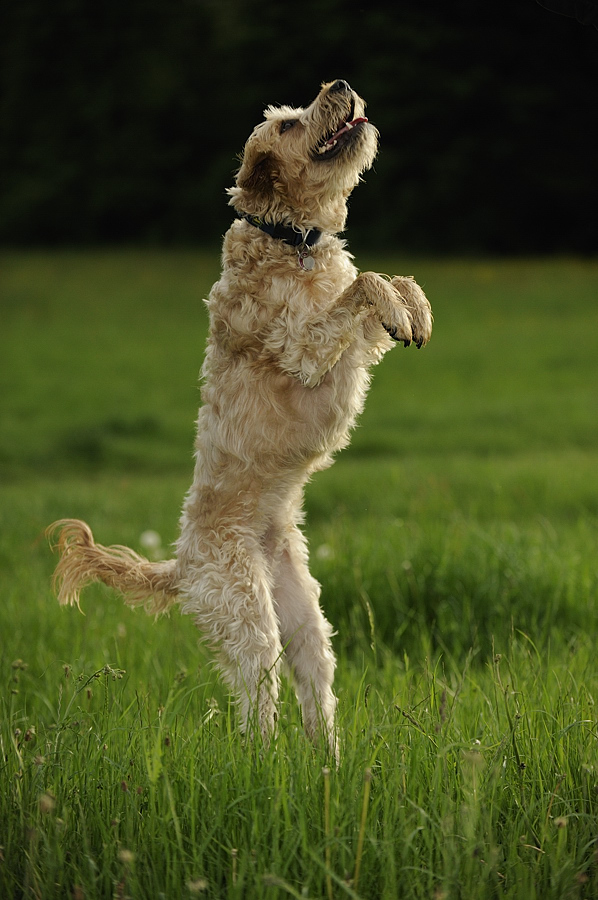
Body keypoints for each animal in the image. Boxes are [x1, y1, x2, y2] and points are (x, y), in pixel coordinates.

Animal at [47, 81, 432, 760]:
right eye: (286, 125)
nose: (339, 86)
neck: (292, 241)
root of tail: (182, 563)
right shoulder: (305, 347)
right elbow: (363, 283)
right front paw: (393, 301)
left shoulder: (351, 348)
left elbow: (383, 280)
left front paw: (414, 307)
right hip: (249, 619)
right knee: (258, 709)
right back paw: (269, 765)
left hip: (306, 623)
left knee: (315, 696)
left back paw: (330, 766)